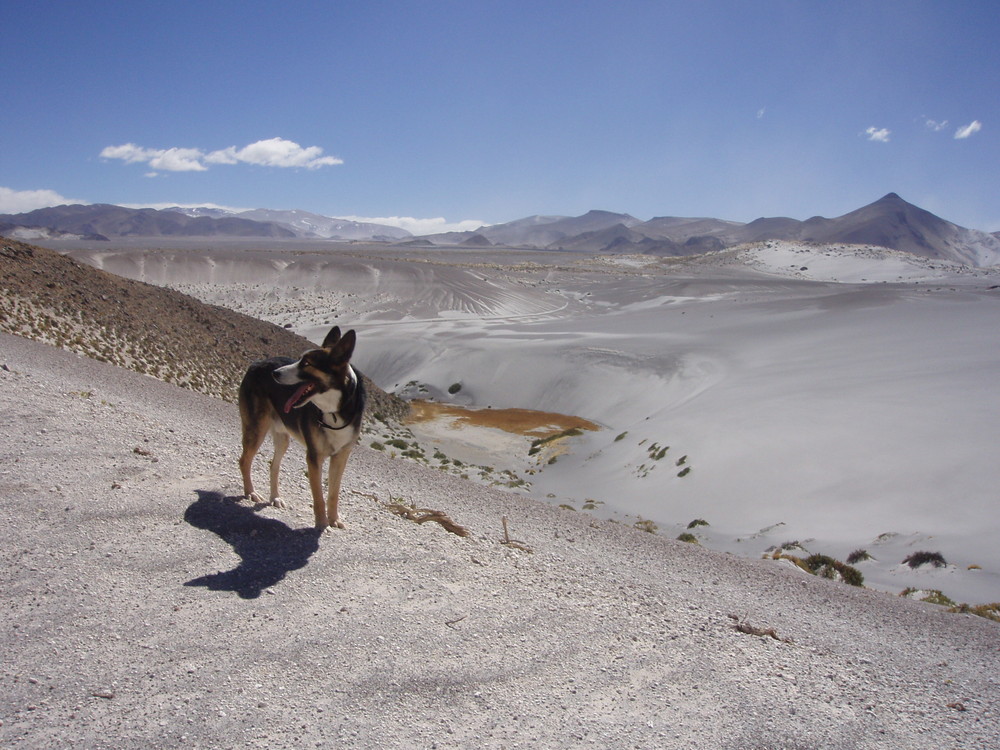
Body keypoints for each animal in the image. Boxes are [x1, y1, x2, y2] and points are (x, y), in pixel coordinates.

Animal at [238, 326, 368, 532]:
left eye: (306, 363)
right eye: (299, 359)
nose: (275, 373)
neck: (334, 410)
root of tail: (256, 363)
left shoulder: (341, 457)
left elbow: (333, 494)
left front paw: (334, 519)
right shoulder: (314, 457)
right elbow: (318, 496)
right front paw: (322, 524)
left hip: (283, 438)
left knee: (273, 466)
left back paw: (275, 497)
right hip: (256, 428)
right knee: (244, 461)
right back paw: (251, 492)